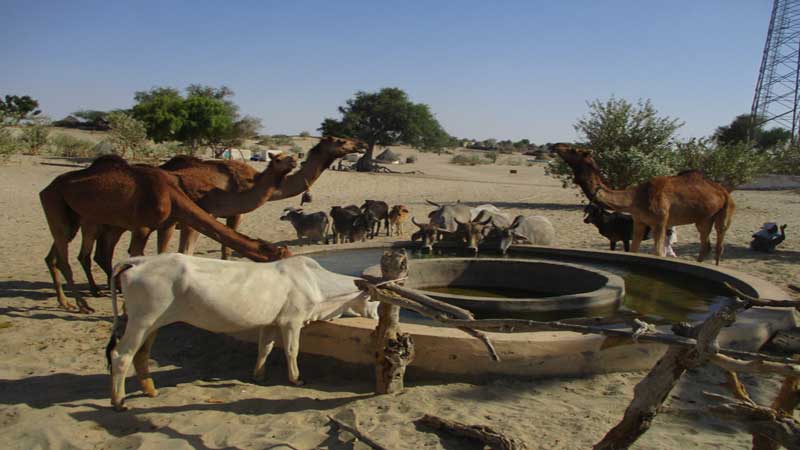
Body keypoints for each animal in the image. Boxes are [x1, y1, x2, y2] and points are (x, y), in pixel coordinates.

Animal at [40, 155, 296, 312]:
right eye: (282, 256)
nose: (294, 159)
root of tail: (47, 187)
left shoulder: (167, 224)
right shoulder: (144, 227)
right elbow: (145, 256)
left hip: (83, 219)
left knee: (64, 255)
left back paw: (76, 297)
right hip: (62, 209)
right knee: (68, 258)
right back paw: (81, 304)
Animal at [106, 253, 378, 412]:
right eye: (375, 301)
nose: (377, 319)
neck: (317, 284)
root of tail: (137, 261)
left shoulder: (270, 323)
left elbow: (265, 348)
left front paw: (258, 375)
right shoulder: (292, 321)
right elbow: (292, 350)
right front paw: (296, 378)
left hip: (153, 323)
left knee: (140, 355)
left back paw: (150, 391)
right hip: (142, 321)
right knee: (121, 356)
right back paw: (119, 401)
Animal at [552, 143, 736, 264]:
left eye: (573, 149)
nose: (555, 145)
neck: (635, 198)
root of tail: (723, 190)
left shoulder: (660, 222)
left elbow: (658, 254)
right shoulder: (639, 221)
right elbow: (633, 251)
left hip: (726, 211)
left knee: (719, 245)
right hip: (703, 218)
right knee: (706, 244)